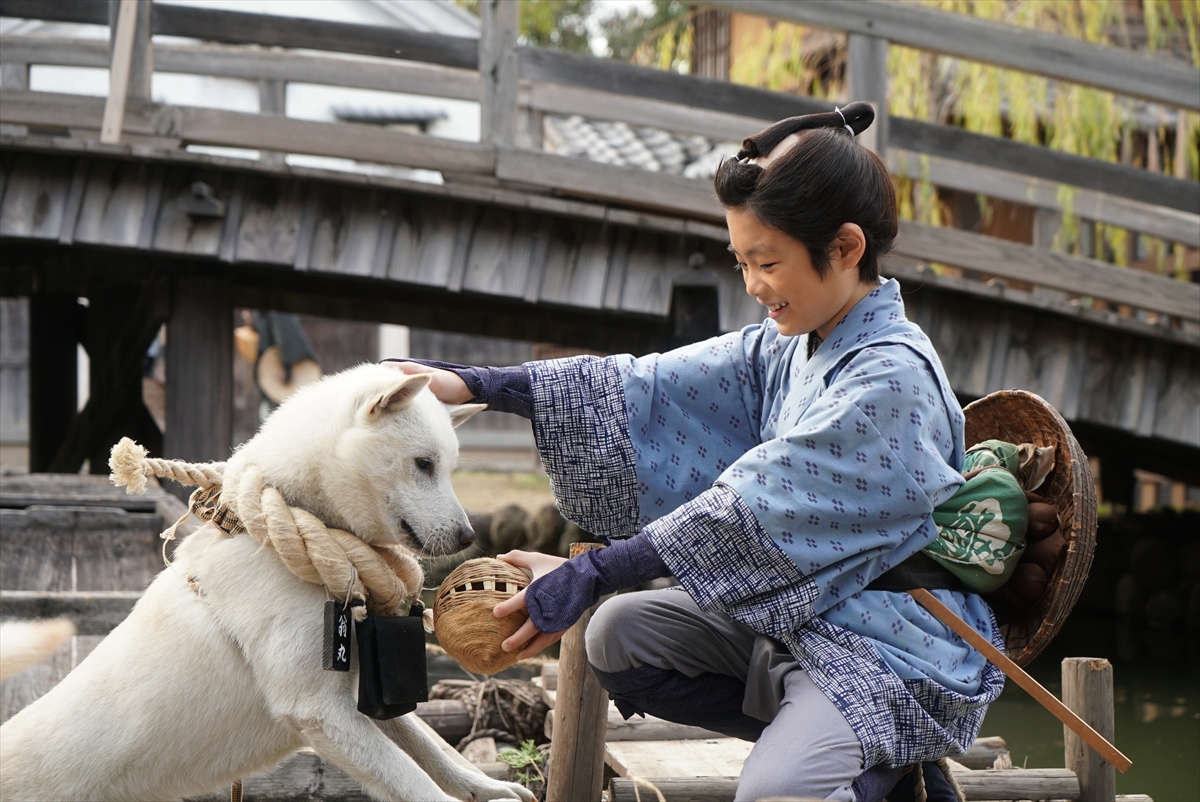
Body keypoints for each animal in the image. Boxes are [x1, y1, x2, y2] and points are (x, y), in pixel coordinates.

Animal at [0, 364, 535, 802]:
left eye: (447, 467)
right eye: (423, 463)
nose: (468, 537)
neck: (287, 549)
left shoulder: (360, 697)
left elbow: (435, 752)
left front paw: (488, 789)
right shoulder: (319, 710)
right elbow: (414, 781)